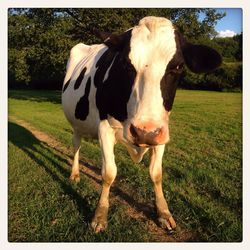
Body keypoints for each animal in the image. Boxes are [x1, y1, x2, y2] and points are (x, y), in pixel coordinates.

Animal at [62, 16, 221, 233]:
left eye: (178, 67)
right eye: (124, 63)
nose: (144, 132)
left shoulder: (161, 131)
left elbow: (156, 173)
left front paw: (163, 212)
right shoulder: (105, 128)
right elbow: (109, 173)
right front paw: (100, 215)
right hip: (76, 124)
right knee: (77, 146)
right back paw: (75, 174)